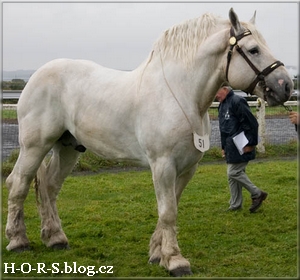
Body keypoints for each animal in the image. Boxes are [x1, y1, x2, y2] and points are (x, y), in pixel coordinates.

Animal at [5, 8, 292, 276]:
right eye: (253, 49)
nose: (286, 86)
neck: (180, 95)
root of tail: (36, 76)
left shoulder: (186, 168)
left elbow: (170, 208)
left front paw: (157, 254)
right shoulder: (163, 165)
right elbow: (168, 211)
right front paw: (175, 261)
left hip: (68, 148)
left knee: (49, 187)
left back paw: (55, 238)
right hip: (35, 146)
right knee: (18, 184)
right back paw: (18, 241)